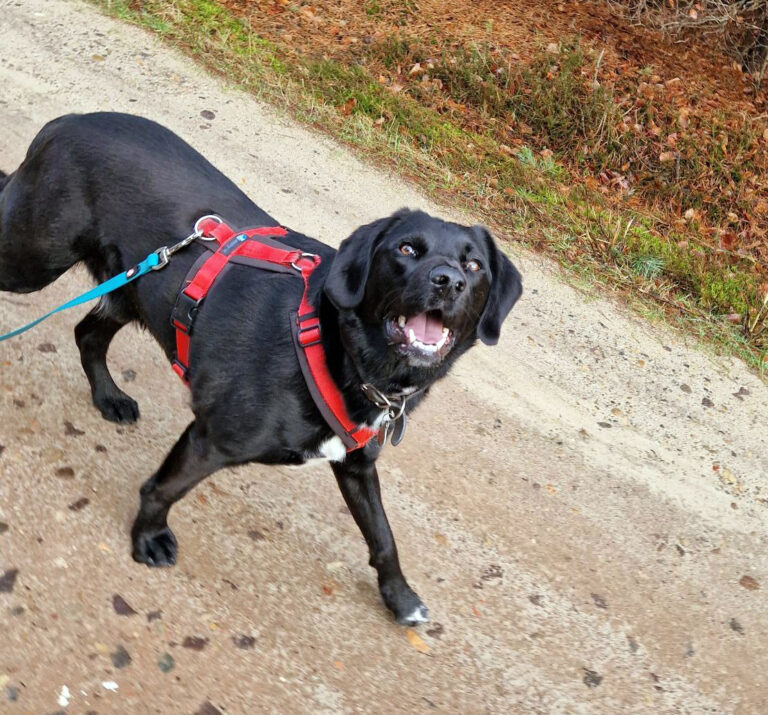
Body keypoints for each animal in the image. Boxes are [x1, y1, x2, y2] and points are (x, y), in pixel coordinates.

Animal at [0, 114, 520, 624]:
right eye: (407, 250)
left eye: (474, 265)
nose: (448, 281)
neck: (338, 348)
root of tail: (65, 122)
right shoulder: (211, 440)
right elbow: (162, 489)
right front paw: (148, 538)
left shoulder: (357, 466)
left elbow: (383, 538)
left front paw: (400, 596)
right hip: (33, 259)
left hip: (130, 286)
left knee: (87, 334)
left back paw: (109, 397)